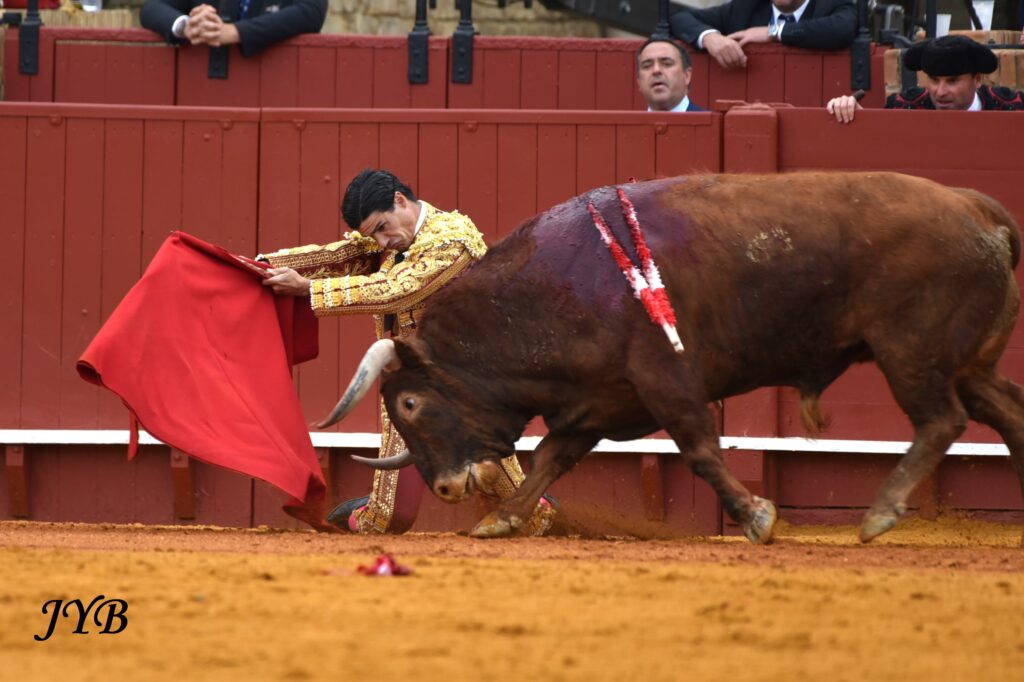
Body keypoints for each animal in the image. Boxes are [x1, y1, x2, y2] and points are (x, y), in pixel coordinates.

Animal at [320, 172, 1024, 545]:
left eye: (411, 401)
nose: (443, 487)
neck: (560, 287)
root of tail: (975, 205)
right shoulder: (596, 403)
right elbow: (548, 460)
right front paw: (501, 519)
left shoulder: (667, 382)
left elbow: (701, 450)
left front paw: (758, 516)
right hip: (967, 361)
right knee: (1008, 411)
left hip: (912, 351)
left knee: (942, 421)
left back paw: (878, 516)